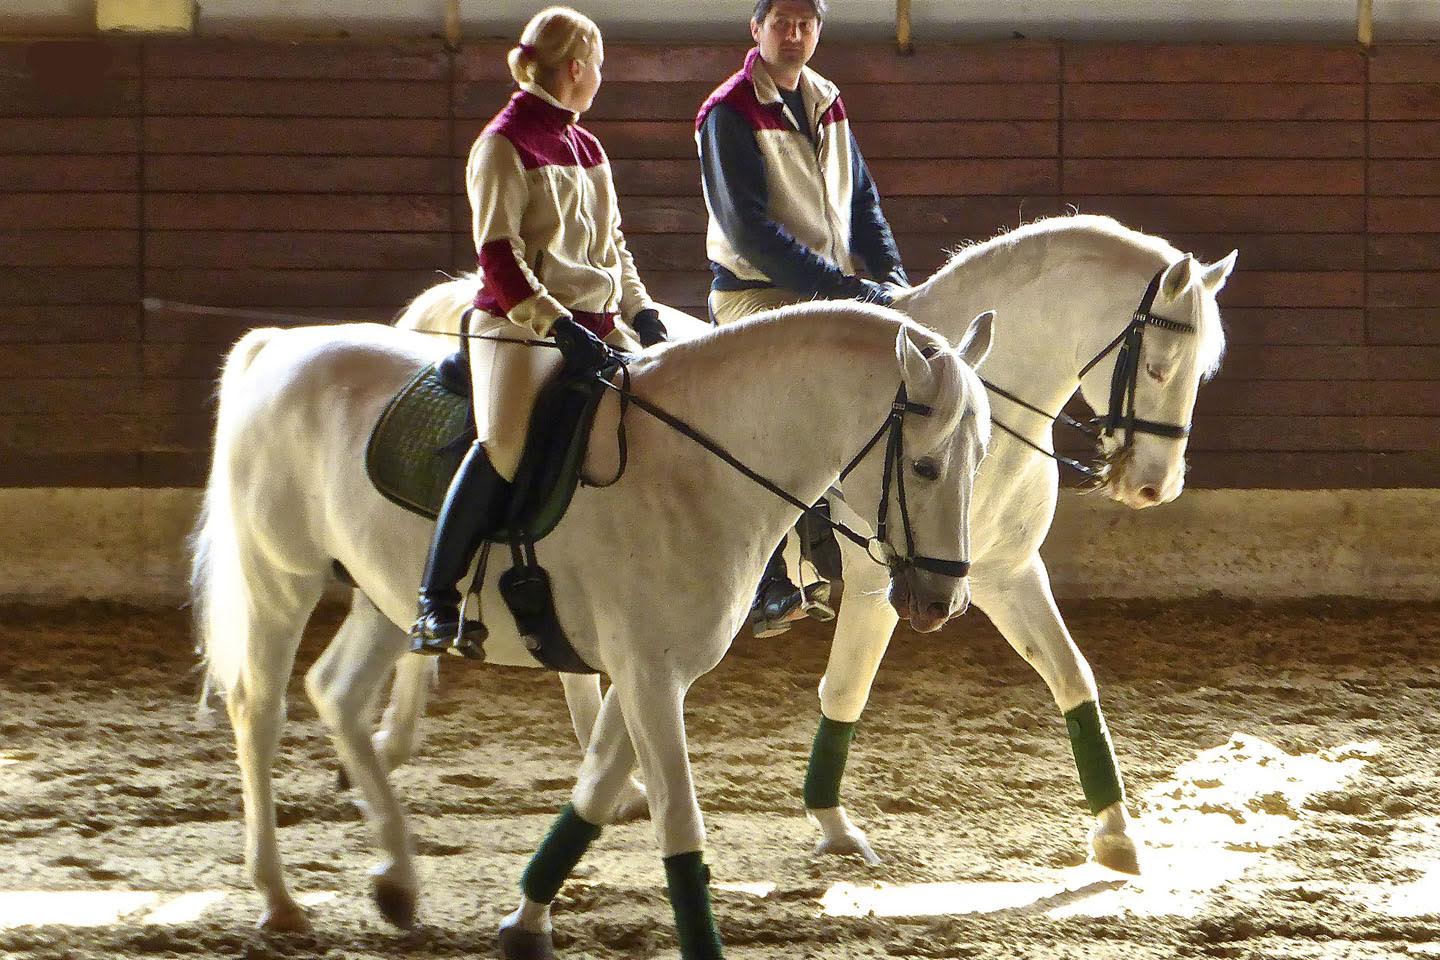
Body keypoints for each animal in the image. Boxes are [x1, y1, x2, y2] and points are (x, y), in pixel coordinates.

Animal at [190, 302, 995, 958]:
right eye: (925, 467)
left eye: (982, 458)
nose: (941, 601)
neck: (697, 467)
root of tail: (280, 345)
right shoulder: (648, 674)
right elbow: (679, 824)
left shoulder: (647, 672)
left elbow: (596, 791)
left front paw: (525, 923)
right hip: (280, 576)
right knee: (260, 709)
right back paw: (279, 899)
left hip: (384, 596)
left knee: (338, 693)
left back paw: (396, 881)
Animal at [364, 214, 1237, 876]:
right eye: (1160, 365)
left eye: (1202, 370)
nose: (1154, 485)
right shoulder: (888, 585)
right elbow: (845, 689)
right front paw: (832, 822)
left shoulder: (1003, 574)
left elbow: (1073, 677)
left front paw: (1116, 834)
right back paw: (401, 728)